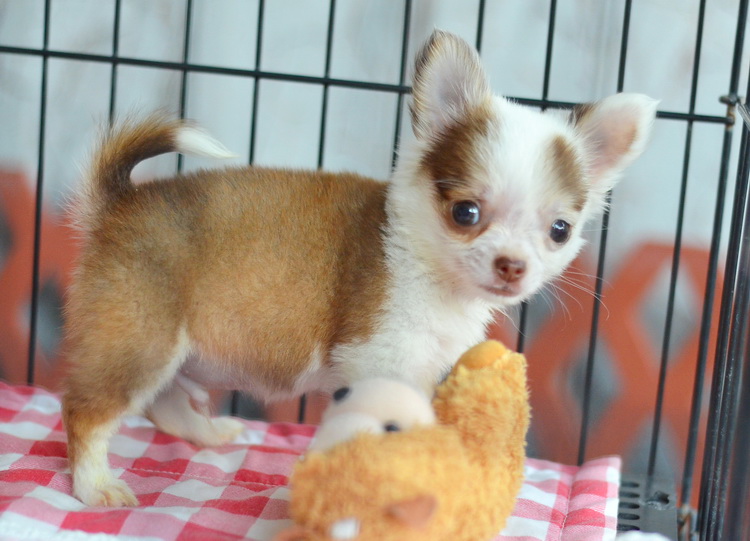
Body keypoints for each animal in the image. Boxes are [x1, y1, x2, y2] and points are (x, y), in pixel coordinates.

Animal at [61, 30, 656, 507]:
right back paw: (96, 487)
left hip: (169, 351)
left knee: (163, 404)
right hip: (139, 338)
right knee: (88, 413)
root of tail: (119, 202)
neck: (430, 270)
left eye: (559, 230)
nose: (512, 265)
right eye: (466, 213)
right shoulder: (378, 360)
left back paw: (212, 434)